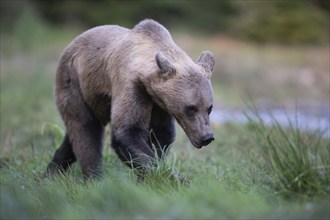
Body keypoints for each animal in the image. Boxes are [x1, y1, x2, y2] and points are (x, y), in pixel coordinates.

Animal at [45, 19, 217, 180]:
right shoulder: (130, 86)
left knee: (72, 137)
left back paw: (52, 171)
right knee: (85, 129)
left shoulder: (159, 103)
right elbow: (128, 130)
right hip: (75, 83)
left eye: (209, 108)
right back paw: (94, 177)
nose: (207, 137)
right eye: (191, 108)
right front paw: (170, 176)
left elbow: (161, 135)